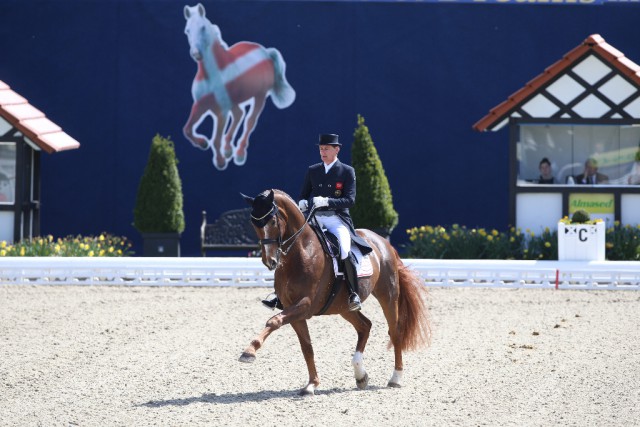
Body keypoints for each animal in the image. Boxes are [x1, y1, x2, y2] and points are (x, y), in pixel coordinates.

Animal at [239, 191, 430, 398]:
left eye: (273, 221)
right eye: (254, 224)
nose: (270, 262)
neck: (301, 252)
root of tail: (383, 241)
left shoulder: (305, 305)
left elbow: (273, 322)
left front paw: (249, 351)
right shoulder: (293, 309)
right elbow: (306, 347)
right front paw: (312, 384)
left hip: (388, 295)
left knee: (395, 331)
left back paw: (395, 377)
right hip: (343, 306)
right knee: (365, 326)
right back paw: (360, 375)